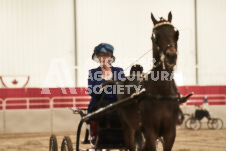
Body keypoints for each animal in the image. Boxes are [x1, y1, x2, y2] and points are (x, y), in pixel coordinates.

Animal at [117, 12, 179, 151]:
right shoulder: (150, 132)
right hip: (127, 126)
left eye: (175, 34)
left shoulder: (170, 133)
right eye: (156, 36)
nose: (171, 56)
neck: (161, 93)